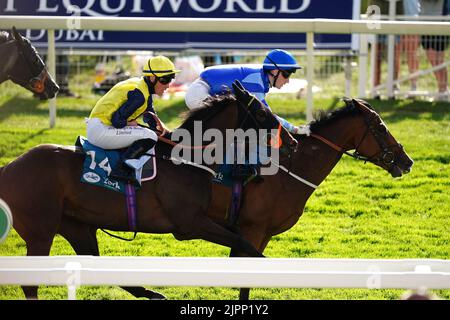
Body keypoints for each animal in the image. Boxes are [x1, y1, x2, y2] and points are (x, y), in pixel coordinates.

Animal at [0, 80, 296, 300]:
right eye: (261, 113)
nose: (292, 141)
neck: (185, 159)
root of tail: (9, 168)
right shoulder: (191, 223)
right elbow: (246, 245)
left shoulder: (207, 220)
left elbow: (243, 243)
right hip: (40, 231)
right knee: (30, 283)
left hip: (77, 226)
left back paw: (150, 292)